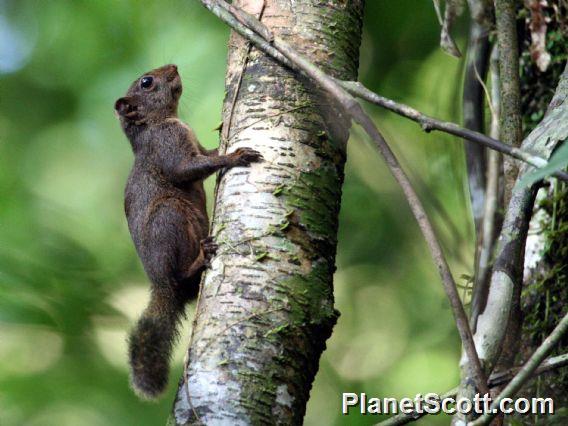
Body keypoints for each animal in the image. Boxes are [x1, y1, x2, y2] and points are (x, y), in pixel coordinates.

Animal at [117, 63, 264, 400]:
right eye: (147, 82)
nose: (173, 66)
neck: (158, 122)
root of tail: (163, 288)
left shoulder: (192, 143)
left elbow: (207, 154)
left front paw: (222, 137)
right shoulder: (168, 145)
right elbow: (185, 169)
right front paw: (235, 156)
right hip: (170, 218)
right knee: (181, 272)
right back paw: (200, 259)